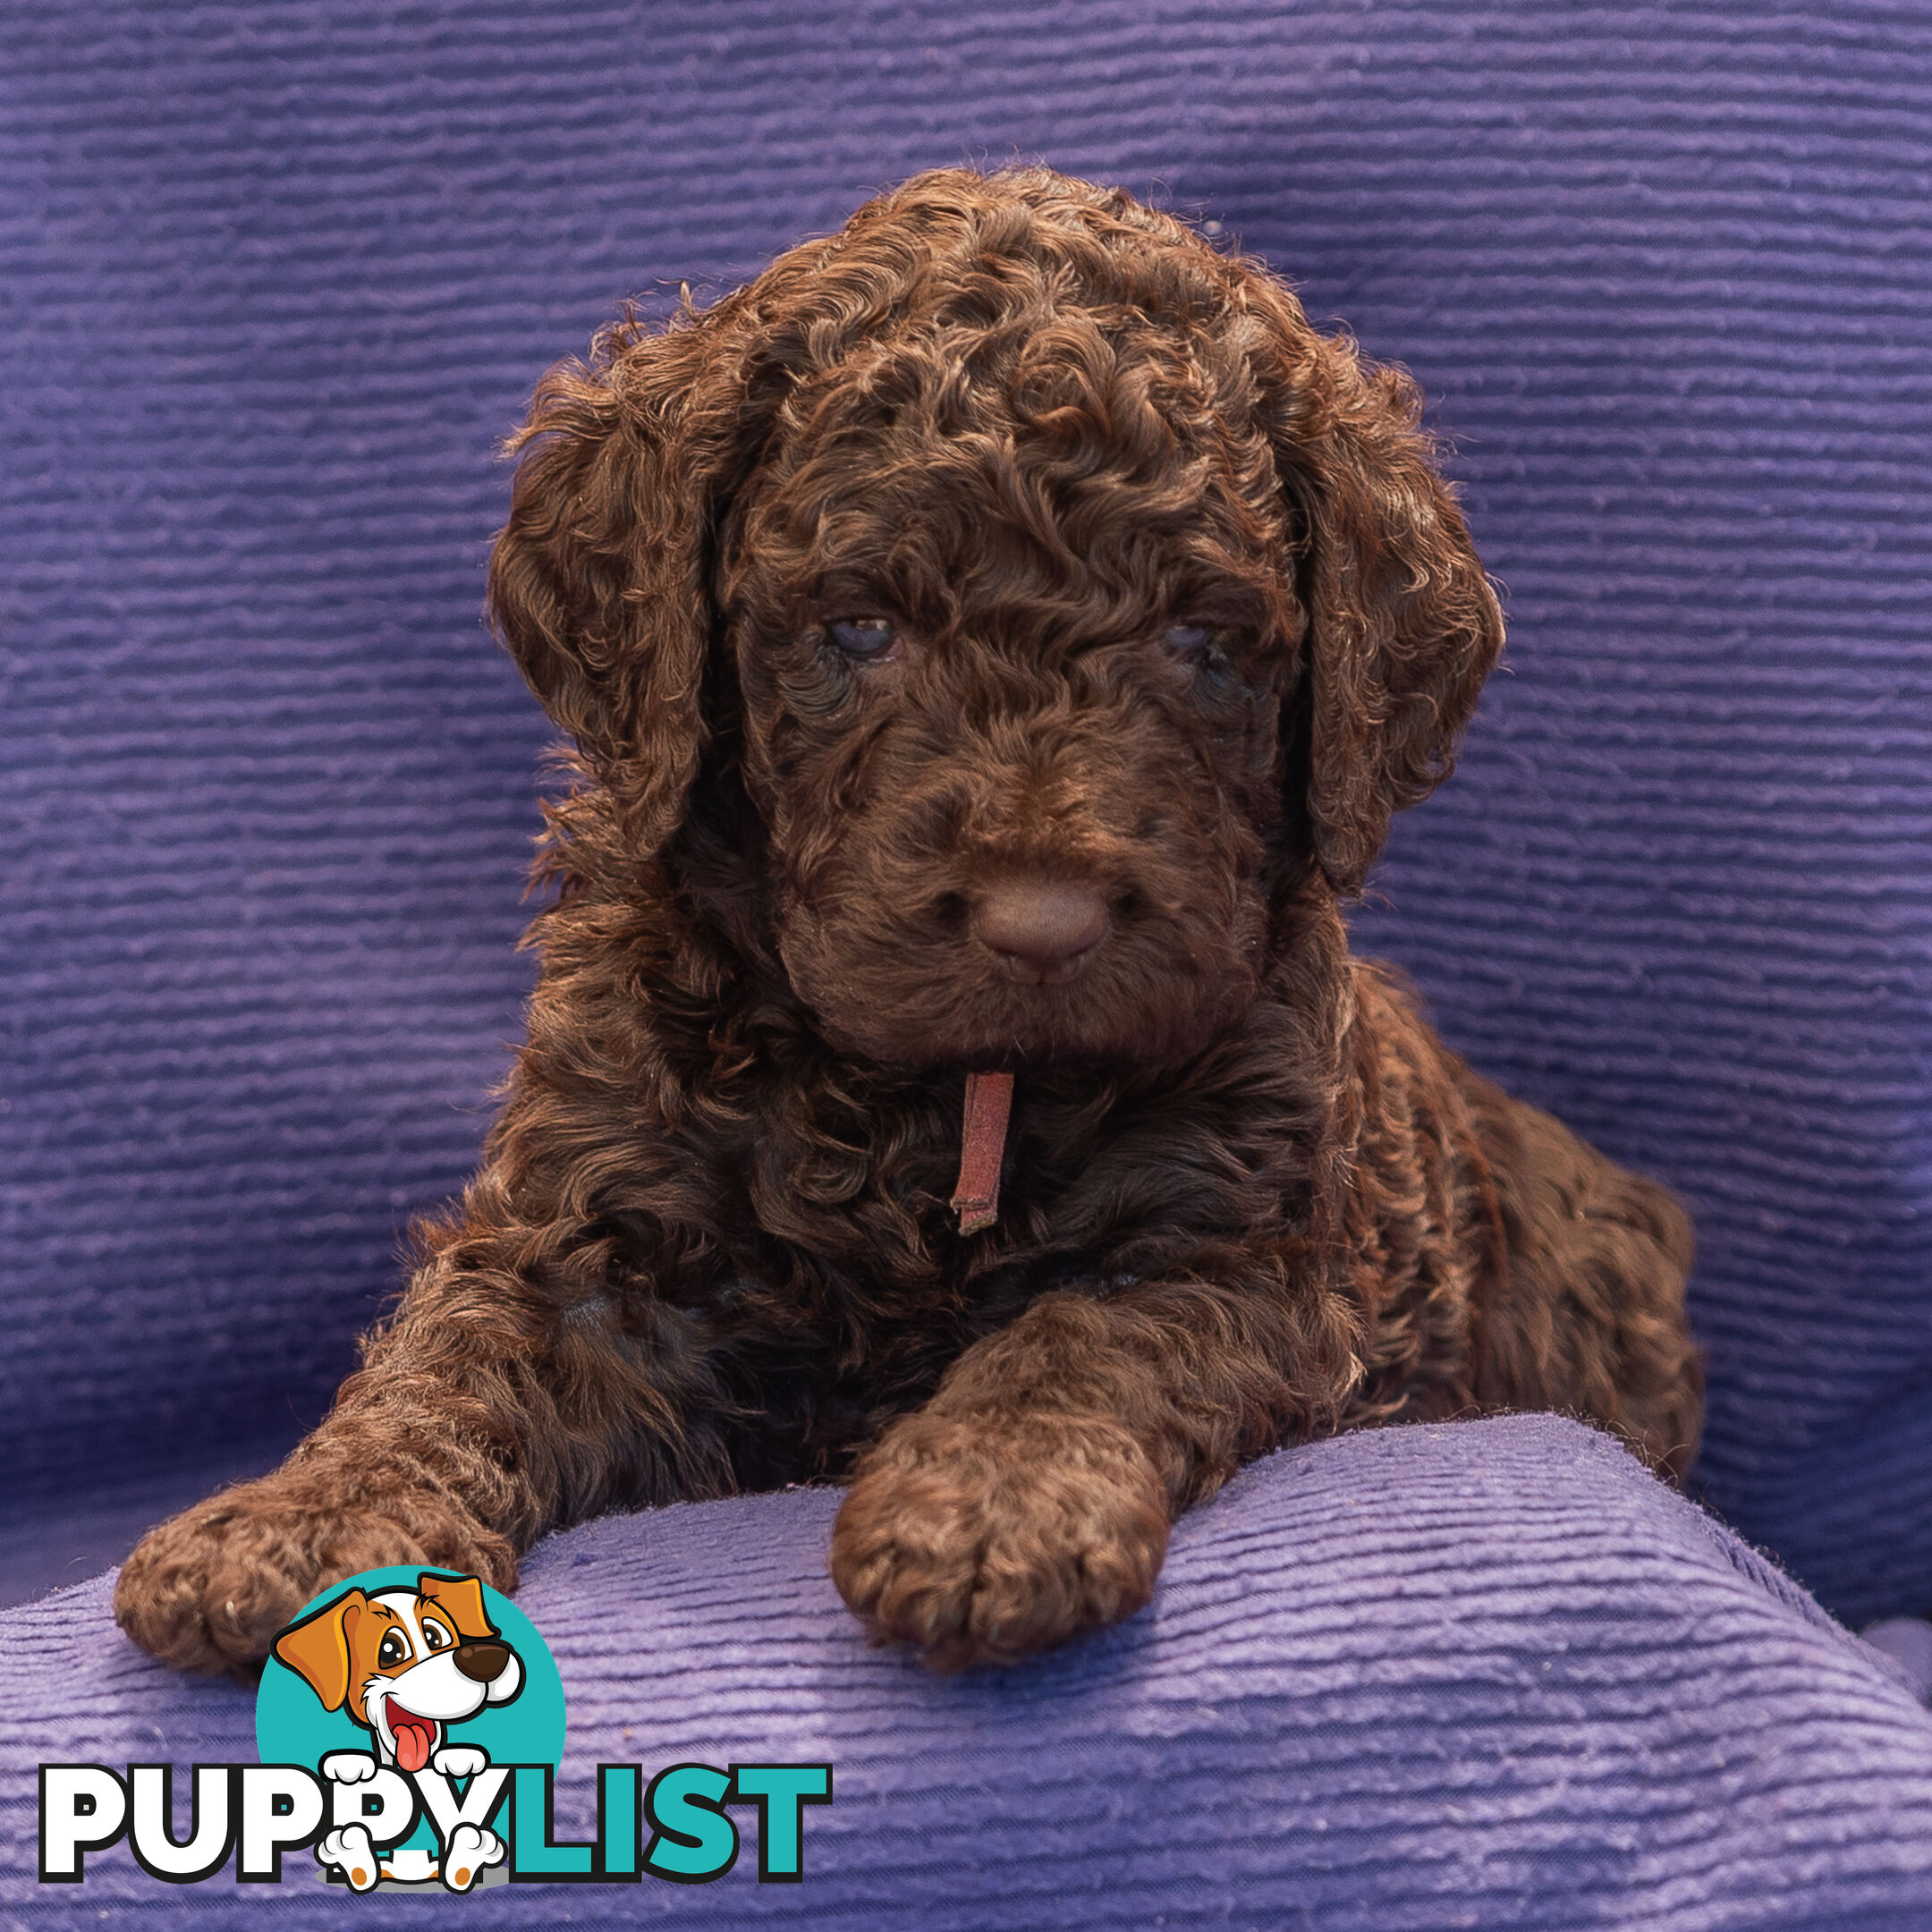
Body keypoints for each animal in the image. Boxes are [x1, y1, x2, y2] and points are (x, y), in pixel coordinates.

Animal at [113, 165, 1699, 1676]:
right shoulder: (591, 1231)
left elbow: (1085, 1334)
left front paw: (989, 1510)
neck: (942, 1106)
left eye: (1204, 644)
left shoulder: (1246, 1247)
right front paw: (304, 1523)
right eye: (860, 630)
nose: (1041, 922)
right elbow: (453, 1362)